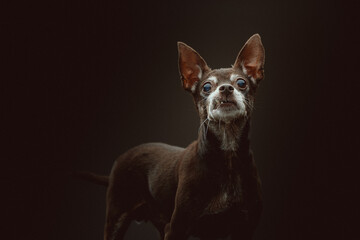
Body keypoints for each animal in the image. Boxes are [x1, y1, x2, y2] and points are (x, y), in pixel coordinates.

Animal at [78, 34, 264, 240]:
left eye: (241, 83)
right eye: (207, 87)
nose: (225, 88)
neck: (227, 155)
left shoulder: (245, 228)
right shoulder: (177, 227)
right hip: (117, 218)